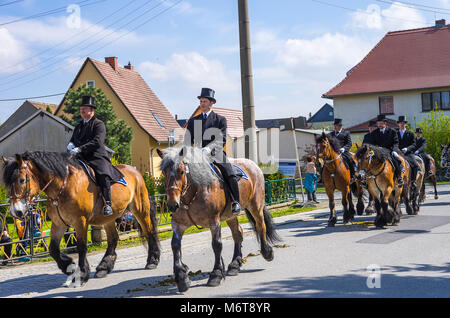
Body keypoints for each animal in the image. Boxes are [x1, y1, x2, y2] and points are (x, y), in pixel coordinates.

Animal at [1, 152, 160, 286]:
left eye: (22, 180)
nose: (16, 211)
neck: (62, 188)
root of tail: (135, 170)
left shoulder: (80, 221)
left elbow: (81, 247)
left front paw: (82, 274)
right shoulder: (58, 224)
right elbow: (53, 249)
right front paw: (69, 267)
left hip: (140, 208)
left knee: (149, 231)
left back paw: (152, 261)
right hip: (109, 217)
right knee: (113, 239)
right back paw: (103, 267)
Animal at [156, 145, 280, 292]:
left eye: (181, 171)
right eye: (164, 172)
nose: (172, 204)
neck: (193, 193)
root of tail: (253, 164)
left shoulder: (214, 221)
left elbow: (216, 245)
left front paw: (216, 275)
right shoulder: (178, 224)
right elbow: (175, 245)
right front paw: (182, 277)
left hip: (256, 205)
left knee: (261, 226)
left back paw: (267, 252)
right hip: (230, 215)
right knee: (238, 233)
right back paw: (234, 265)